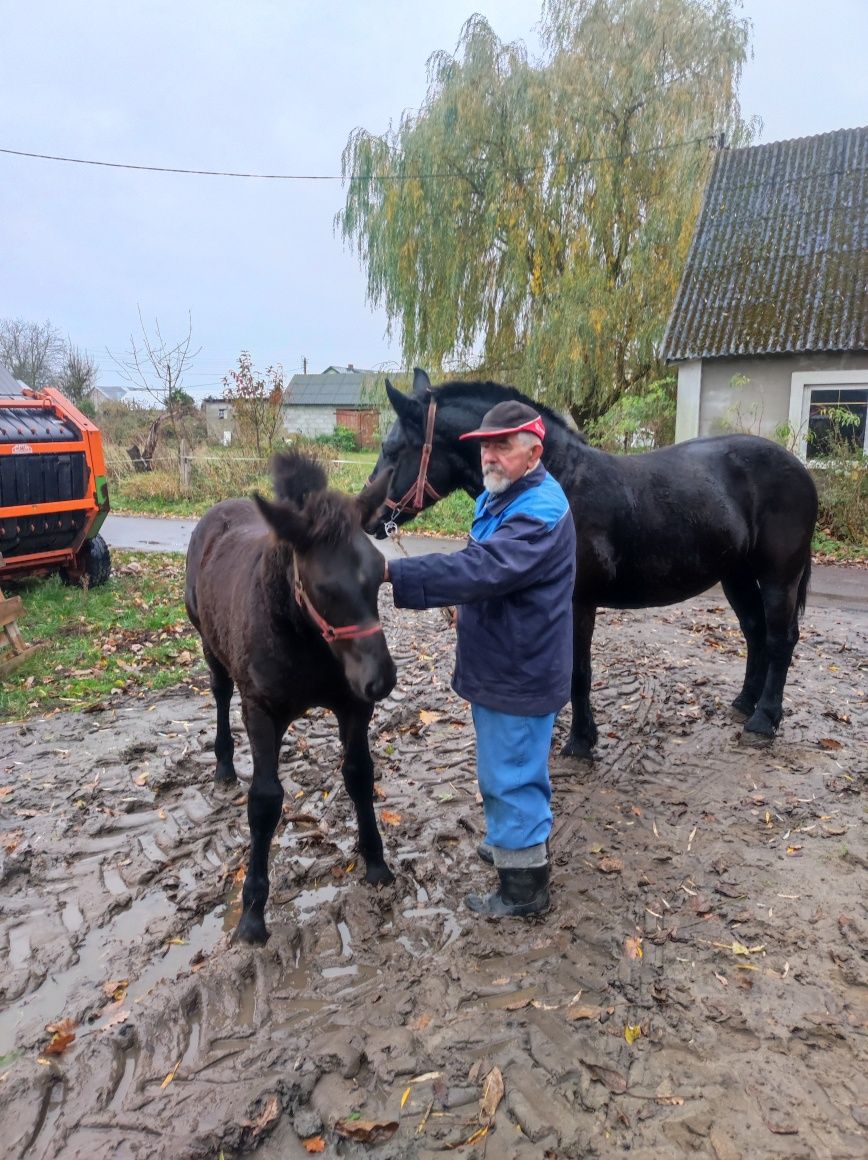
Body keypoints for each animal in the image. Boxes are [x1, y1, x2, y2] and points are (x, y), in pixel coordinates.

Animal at [187, 452, 399, 941]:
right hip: (209, 647)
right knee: (220, 694)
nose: (381, 679)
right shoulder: (261, 713)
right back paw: (224, 765)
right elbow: (265, 802)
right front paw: (252, 912)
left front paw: (375, 861)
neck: (305, 640)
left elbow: (359, 775)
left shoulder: (353, 706)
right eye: (323, 587)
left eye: (380, 570)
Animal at [369, 366, 816, 756]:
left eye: (392, 449)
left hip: (780, 578)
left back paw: (763, 720)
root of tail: (800, 469)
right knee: (755, 632)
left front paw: (582, 741)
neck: (560, 482)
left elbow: (578, 672)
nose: (370, 519)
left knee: (780, 640)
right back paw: (744, 702)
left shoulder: (578, 602)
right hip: (735, 575)